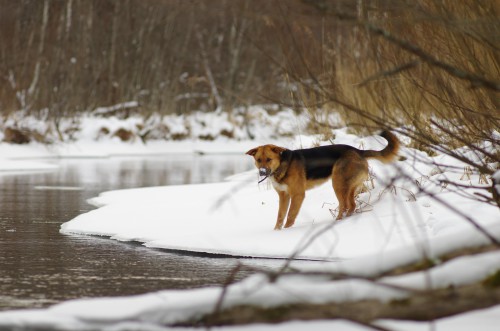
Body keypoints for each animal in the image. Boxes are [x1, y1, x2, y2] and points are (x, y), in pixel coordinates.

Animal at [244, 130, 400, 231]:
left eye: (269, 159)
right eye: (258, 160)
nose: (262, 172)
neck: (282, 165)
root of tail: (358, 151)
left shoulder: (297, 195)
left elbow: (290, 216)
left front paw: (287, 232)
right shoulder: (284, 196)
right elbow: (280, 217)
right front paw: (277, 232)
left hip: (337, 184)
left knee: (345, 205)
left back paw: (336, 223)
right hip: (349, 187)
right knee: (351, 205)